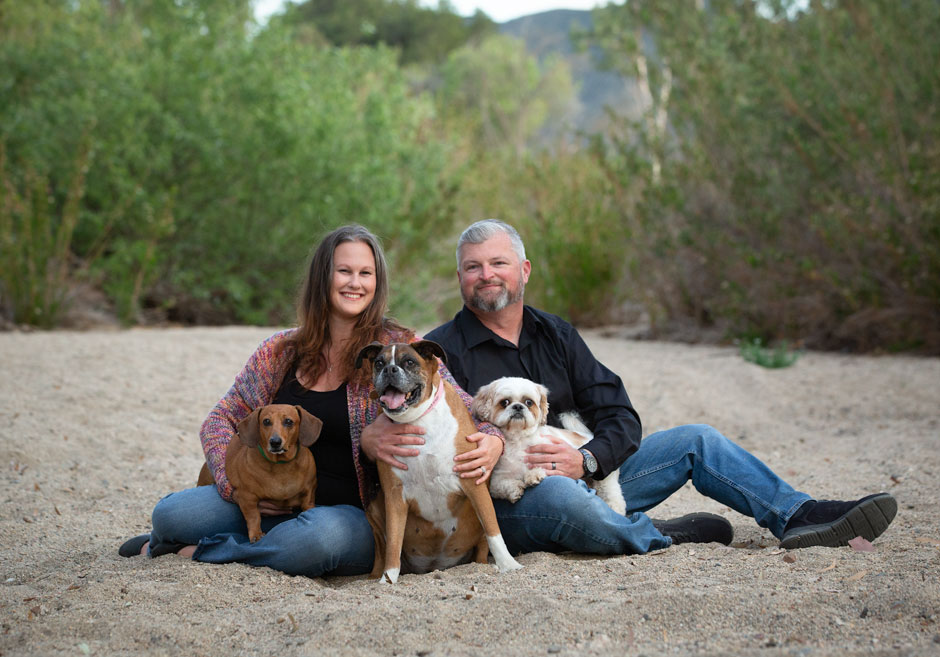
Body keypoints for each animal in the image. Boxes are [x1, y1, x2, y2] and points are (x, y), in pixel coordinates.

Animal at [196, 404, 324, 544]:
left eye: (289, 421)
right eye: (266, 421)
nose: (275, 442)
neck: (281, 465)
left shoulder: (309, 491)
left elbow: (308, 506)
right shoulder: (247, 497)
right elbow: (254, 516)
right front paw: (256, 534)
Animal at [356, 340, 524, 580]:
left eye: (409, 362)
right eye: (379, 363)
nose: (389, 370)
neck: (417, 419)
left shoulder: (474, 482)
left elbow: (493, 530)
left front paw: (508, 564)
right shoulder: (394, 495)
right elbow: (394, 543)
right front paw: (389, 578)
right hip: (374, 509)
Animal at [474, 376, 628, 516]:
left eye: (529, 402)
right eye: (504, 402)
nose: (518, 406)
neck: (518, 439)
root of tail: (588, 436)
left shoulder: (550, 458)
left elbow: (539, 468)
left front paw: (533, 475)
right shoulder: (498, 478)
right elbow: (500, 486)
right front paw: (515, 489)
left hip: (606, 482)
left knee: (613, 497)